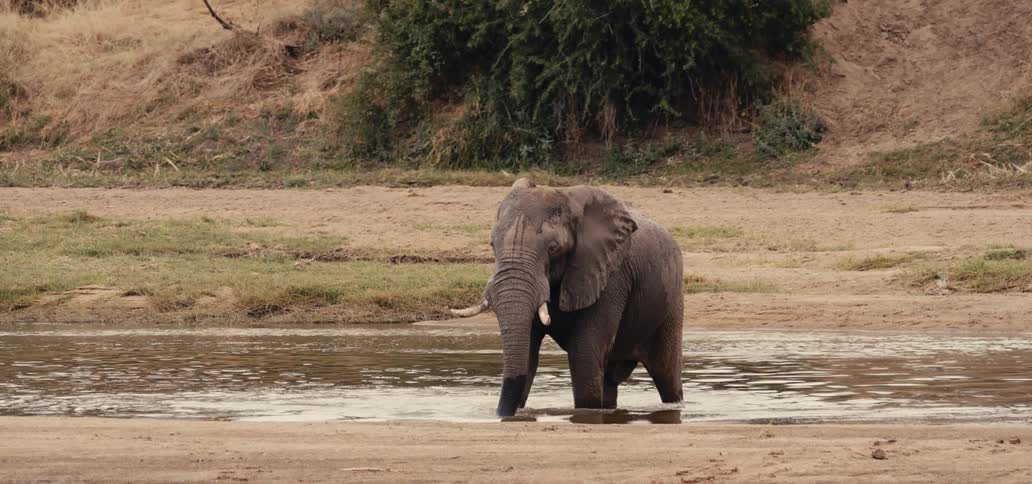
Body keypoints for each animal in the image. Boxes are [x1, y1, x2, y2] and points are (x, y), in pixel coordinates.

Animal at [450, 178, 684, 417]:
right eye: (492, 245)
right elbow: (529, 353)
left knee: (666, 371)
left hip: (672, 300)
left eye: (554, 248)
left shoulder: (610, 275)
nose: (500, 415)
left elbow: (584, 352)